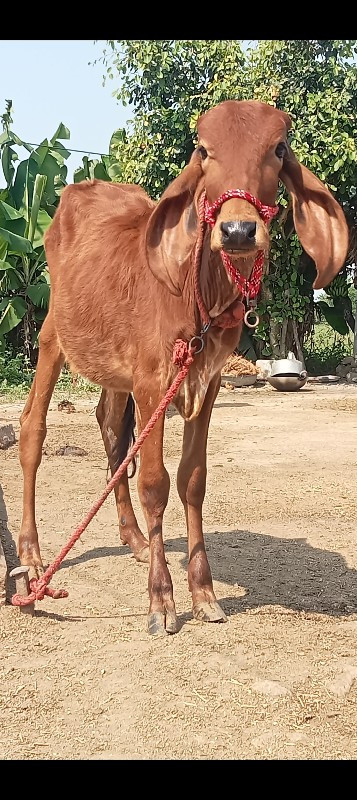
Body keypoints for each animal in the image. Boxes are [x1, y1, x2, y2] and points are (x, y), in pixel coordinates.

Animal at [18, 103, 346, 636]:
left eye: (278, 149)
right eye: (203, 150)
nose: (237, 231)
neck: (203, 296)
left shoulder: (205, 381)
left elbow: (193, 479)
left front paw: (204, 592)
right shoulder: (154, 380)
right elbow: (155, 484)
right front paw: (162, 598)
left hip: (116, 369)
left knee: (111, 430)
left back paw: (132, 538)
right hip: (53, 336)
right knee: (32, 428)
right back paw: (31, 553)